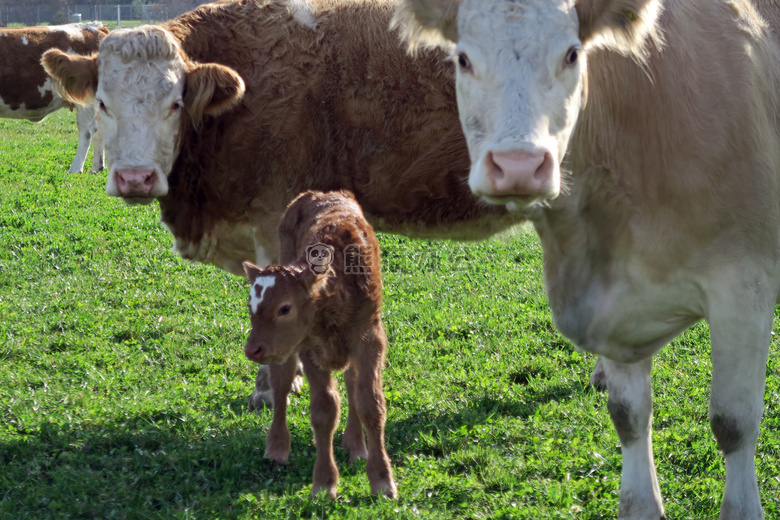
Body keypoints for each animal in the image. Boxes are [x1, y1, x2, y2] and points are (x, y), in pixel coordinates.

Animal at [242, 189, 396, 498]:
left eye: (284, 308)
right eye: (251, 308)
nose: (252, 349)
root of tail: (322, 193)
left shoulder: (369, 339)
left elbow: (370, 403)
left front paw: (382, 480)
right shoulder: (308, 347)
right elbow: (324, 410)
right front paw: (324, 484)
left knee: (351, 381)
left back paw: (355, 446)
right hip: (285, 349)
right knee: (281, 382)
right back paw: (276, 448)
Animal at [400, 0, 780, 516]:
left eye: (572, 54)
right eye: (462, 58)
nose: (518, 166)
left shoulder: (743, 284)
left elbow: (733, 421)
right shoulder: (610, 301)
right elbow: (627, 415)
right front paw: (641, 505)